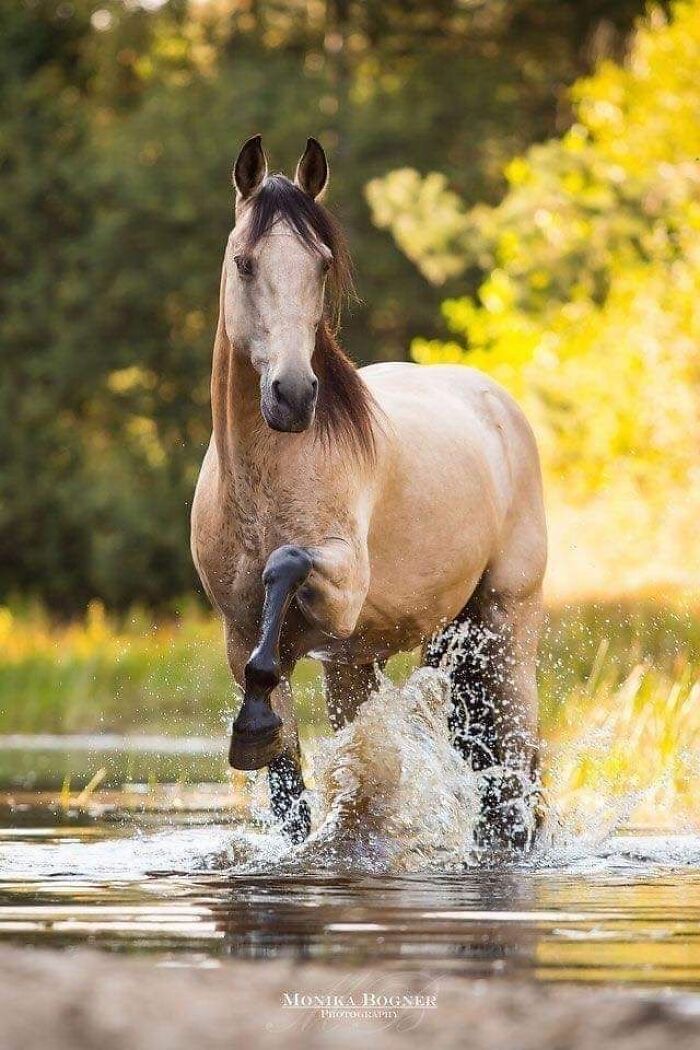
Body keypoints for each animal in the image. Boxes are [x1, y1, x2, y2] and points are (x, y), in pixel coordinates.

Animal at [191, 135, 547, 848]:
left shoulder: (341, 592)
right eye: (245, 263)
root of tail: (497, 404)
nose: (294, 396)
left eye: (322, 264)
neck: (260, 486)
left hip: (503, 630)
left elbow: (285, 563)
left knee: (515, 772)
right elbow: (288, 790)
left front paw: (251, 729)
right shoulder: (241, 636)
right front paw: (257, 735)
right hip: (365, 663)